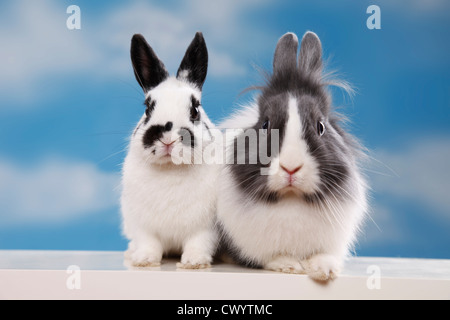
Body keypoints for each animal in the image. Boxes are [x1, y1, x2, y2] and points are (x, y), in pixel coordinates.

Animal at [119, 32, 218, 268]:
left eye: (195, 109)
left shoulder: (205, 228)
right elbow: (149, 243)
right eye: (147, 108)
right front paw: (144, 260)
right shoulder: (143, 226)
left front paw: (194, 262)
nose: (167, 139)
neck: (171, 169)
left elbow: (198, 243)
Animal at [218, 31, 370, 280]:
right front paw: (289, 265)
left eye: (320, 126)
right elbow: (271, 257)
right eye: (265, 124)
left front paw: (324, 270)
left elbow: (324, 255)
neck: (291, 199)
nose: (291, 167)